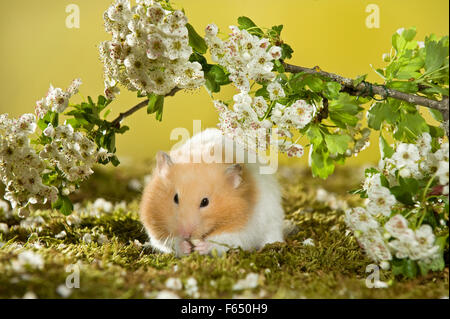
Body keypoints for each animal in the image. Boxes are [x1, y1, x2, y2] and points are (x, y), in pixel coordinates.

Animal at [140, 129, 284, 256]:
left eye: (205, 202)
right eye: (175, 198)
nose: (186, 234)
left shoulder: (243, 231)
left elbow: (224, 240)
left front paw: (201, 246)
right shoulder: (155, 229)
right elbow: (169, 241)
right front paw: (185, 246)